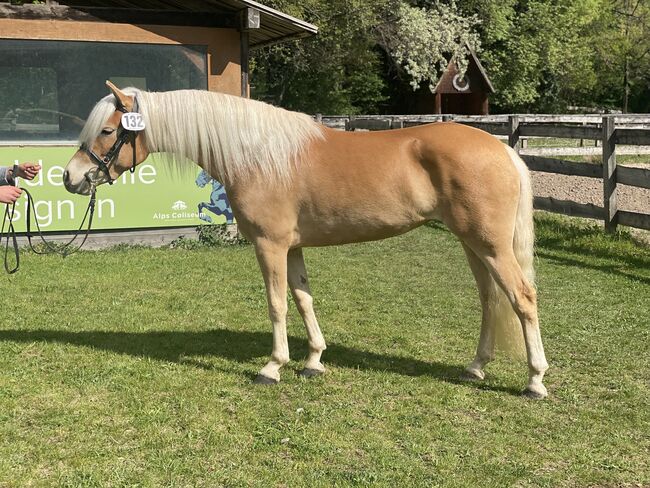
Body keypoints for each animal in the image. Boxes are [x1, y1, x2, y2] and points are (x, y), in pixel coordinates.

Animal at [63, 82, 548, 398]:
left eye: (107, 131)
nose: (71, 177)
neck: (257, 155)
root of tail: (503, 150)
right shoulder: (292, 247)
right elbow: (302, 298)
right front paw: (313, 360)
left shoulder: (269, 245)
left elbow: (277, 303)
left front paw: (272, 367)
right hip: (473, 244)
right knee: (490, 299)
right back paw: (475, 368)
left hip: (489, 245)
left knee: (522, 297)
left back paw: (535, 380)